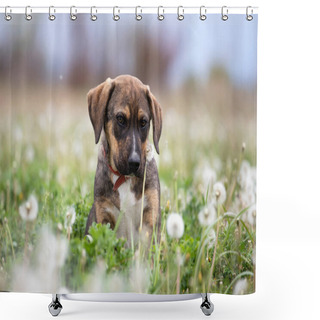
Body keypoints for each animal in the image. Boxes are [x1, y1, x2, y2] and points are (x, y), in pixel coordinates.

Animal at [85, 75, 162, 248]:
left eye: (143, 122)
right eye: (120, 119)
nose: (134, 163)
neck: (124, 178)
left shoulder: (150, 215)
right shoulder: (103, 215)